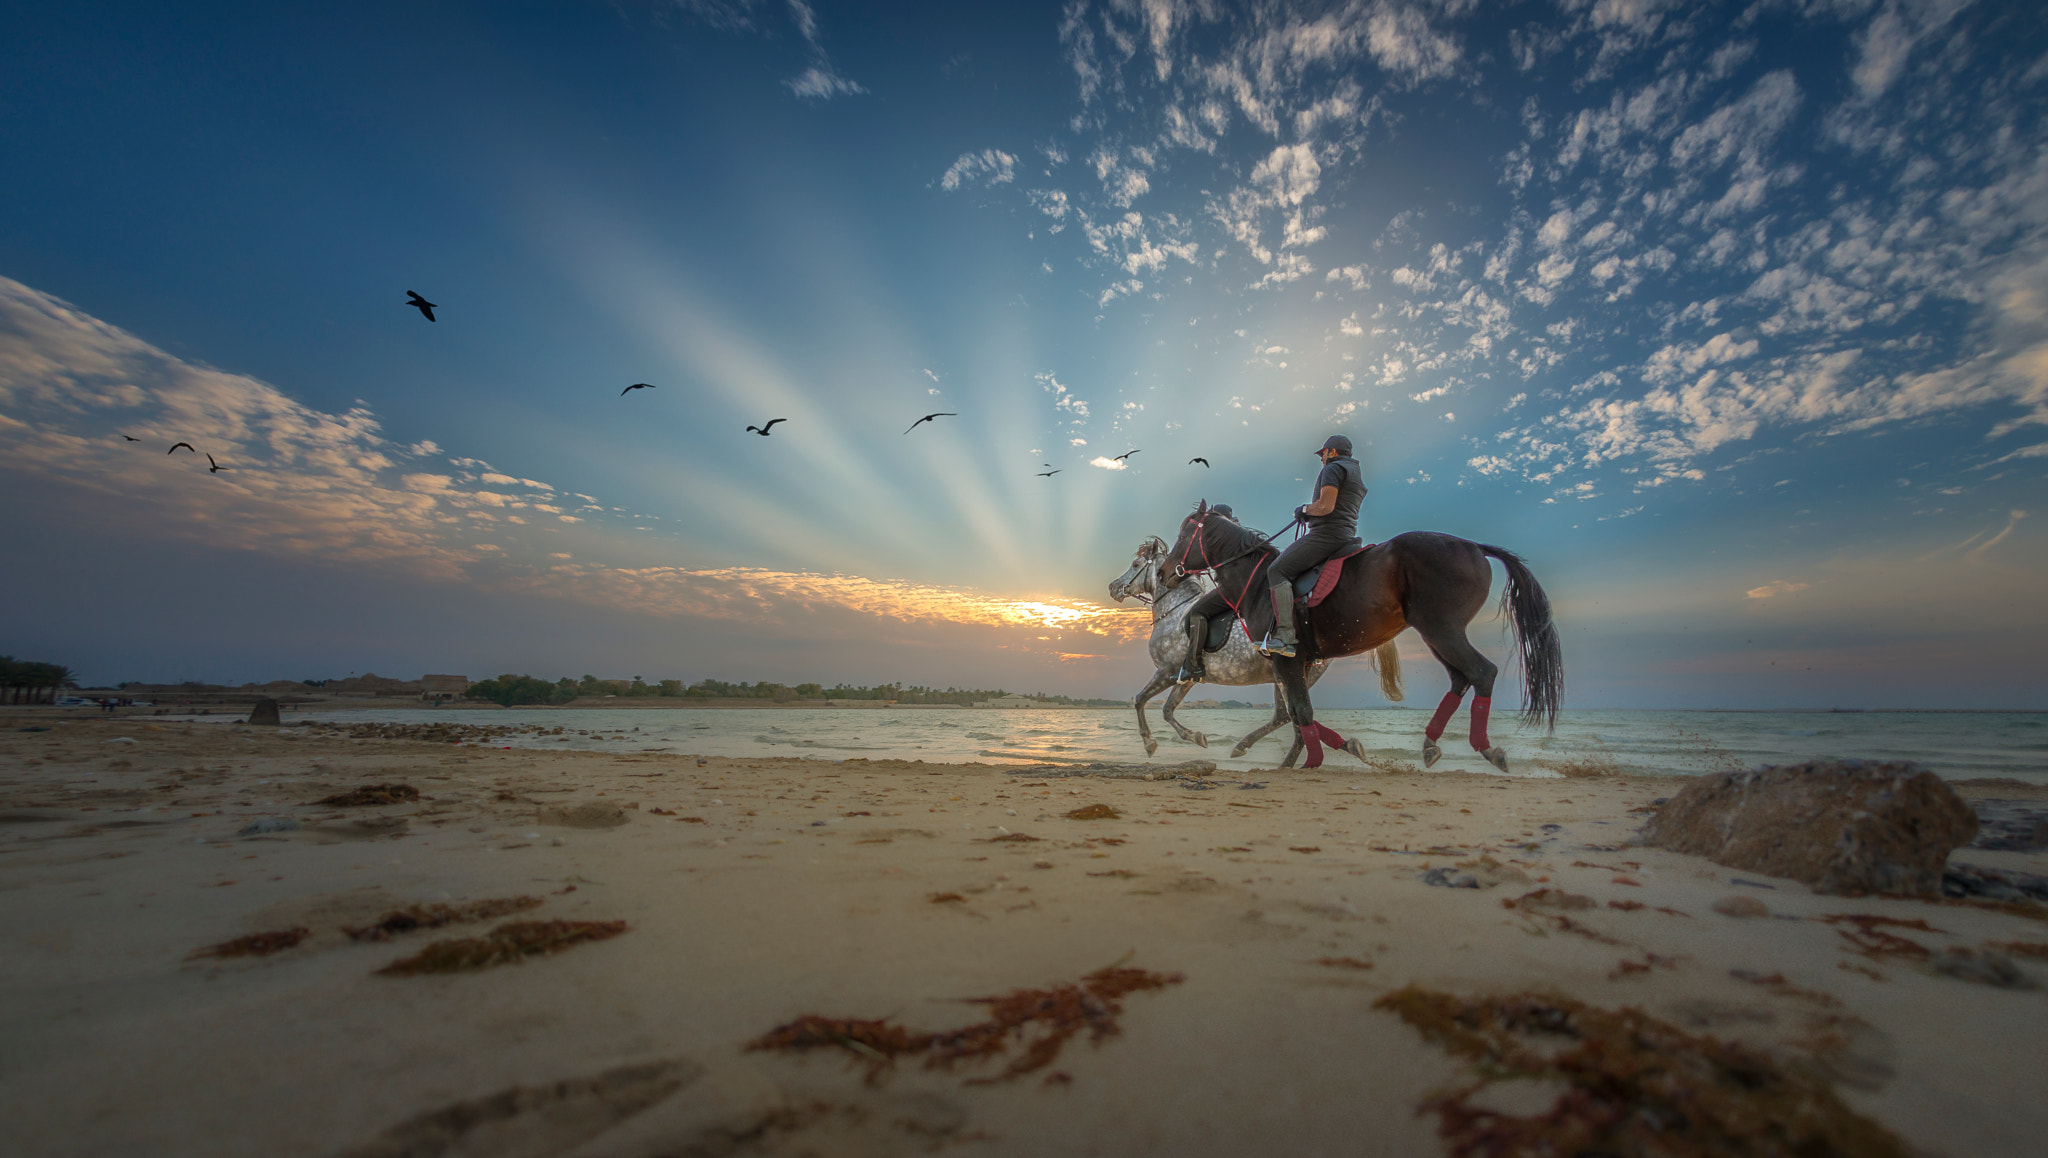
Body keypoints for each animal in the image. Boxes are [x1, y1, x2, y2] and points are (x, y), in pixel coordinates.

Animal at [1105, 536, 1409, 766]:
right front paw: (1196, 737)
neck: (1175, 612)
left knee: (1294, 717)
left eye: (1135, 564)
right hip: (1286, 677)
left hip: (1290, 675)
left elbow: (1140, 701)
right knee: (1289, 717)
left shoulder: (1166, 670)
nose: (1113, 587)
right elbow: (1167, 710)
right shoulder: (1186, 676)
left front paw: (1150, 743)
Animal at [1163, 498, 1556, 762]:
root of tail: (1474, 546)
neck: (1257, 582)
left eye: (1184, 532)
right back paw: (1431, 744)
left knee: (1481, 672)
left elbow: (1300, 712)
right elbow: (1300, 712)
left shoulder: (1288, 659)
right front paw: (1336, 749)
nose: (1168, 572)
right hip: (1437, 634)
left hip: (1442, 629)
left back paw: (1485, 748)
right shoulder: (1296, 662)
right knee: (1461, 677)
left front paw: (1313, 761)